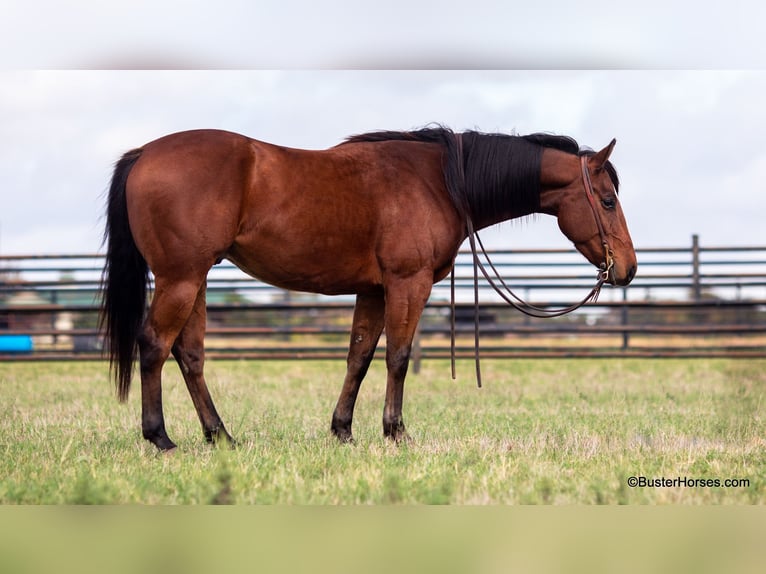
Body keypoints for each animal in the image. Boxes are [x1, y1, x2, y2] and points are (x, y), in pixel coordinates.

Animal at [103, 128, 640, 452]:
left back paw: (220, 436)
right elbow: (397, 356)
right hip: (181, 278)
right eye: (607, 201)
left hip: (194, 280)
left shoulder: (374, 291)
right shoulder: (407, 283)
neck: (439, 182)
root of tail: (144, 153)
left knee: (189, 354)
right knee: (154, 346)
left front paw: (343, 430)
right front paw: (395, 432)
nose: (628, 269)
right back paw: (160, 438)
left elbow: (359, 357)